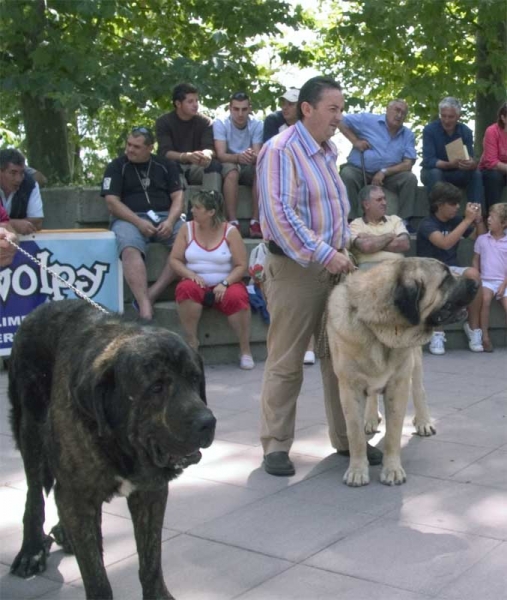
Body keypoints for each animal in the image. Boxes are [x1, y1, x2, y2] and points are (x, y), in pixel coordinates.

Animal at [8, 300, 216, 600]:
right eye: (156, 387)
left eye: (194, 378)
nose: (207, 422)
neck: (123, 443)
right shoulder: (80, 497)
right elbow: (96, 575)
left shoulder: (150, 493)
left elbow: (151, 560)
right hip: (31, 430)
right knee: (35, 495)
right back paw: (32, 550)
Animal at [330, 258, 480, 488]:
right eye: (445, 279)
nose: (477, 283)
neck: (377, 329)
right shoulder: (349, 387)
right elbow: (354, 434)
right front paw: (357, 470)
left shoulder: (398, 384)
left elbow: (393, 432)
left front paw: (392, 470)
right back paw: (370, 419)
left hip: (415, 362)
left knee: (419, 389)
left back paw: (424, 422)